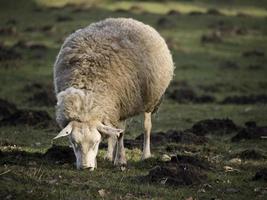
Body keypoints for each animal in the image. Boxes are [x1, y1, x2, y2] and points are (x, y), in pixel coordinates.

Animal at [53, 17, 175, 170]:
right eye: (74, 143)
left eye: (95, 143)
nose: (85, 167)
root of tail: (127, 20)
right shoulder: (111, 108)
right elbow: (112, 133)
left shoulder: (123, 105)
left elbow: (120, 134)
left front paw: (121, 160)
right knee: (111, 131)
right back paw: (109, 155)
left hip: (147, 99)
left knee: (146, 126)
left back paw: (145, 155)